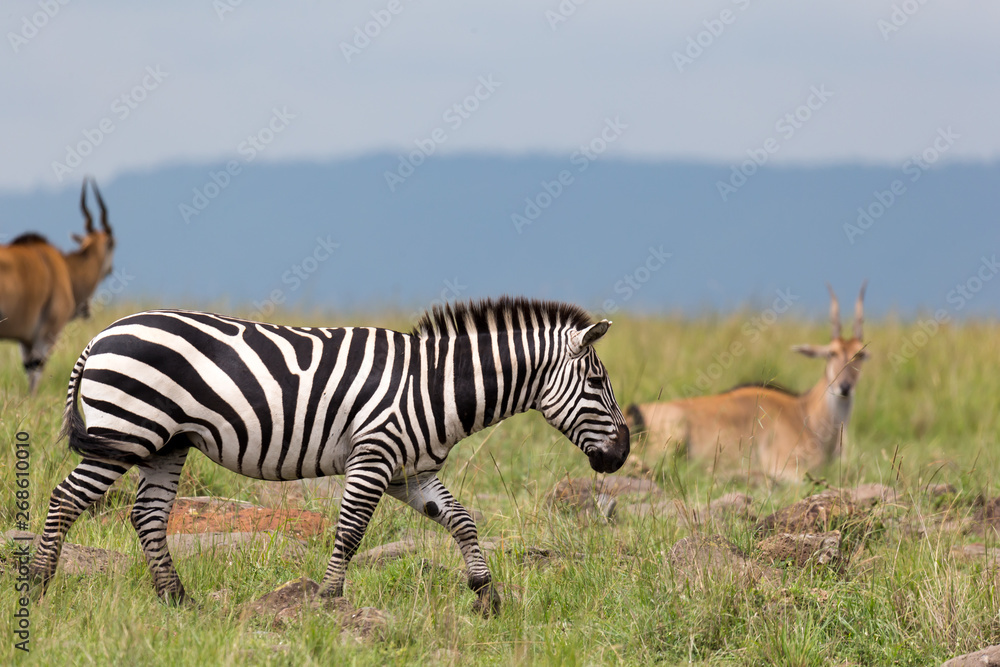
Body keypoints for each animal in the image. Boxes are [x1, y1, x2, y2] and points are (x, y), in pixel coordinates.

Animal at [29, 297, 630, 614]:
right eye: (598, 383)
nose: (623, 455)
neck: (435, 386)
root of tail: (101, 335)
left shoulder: (411, 472)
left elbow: (463, 521)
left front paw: (486, 596)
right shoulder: (374, 454)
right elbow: (351, 530)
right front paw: (329, 600)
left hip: (165, 443)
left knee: (148, 515)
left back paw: (179, 600)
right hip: (125, 432)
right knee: (64, 500)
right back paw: (38, 585)